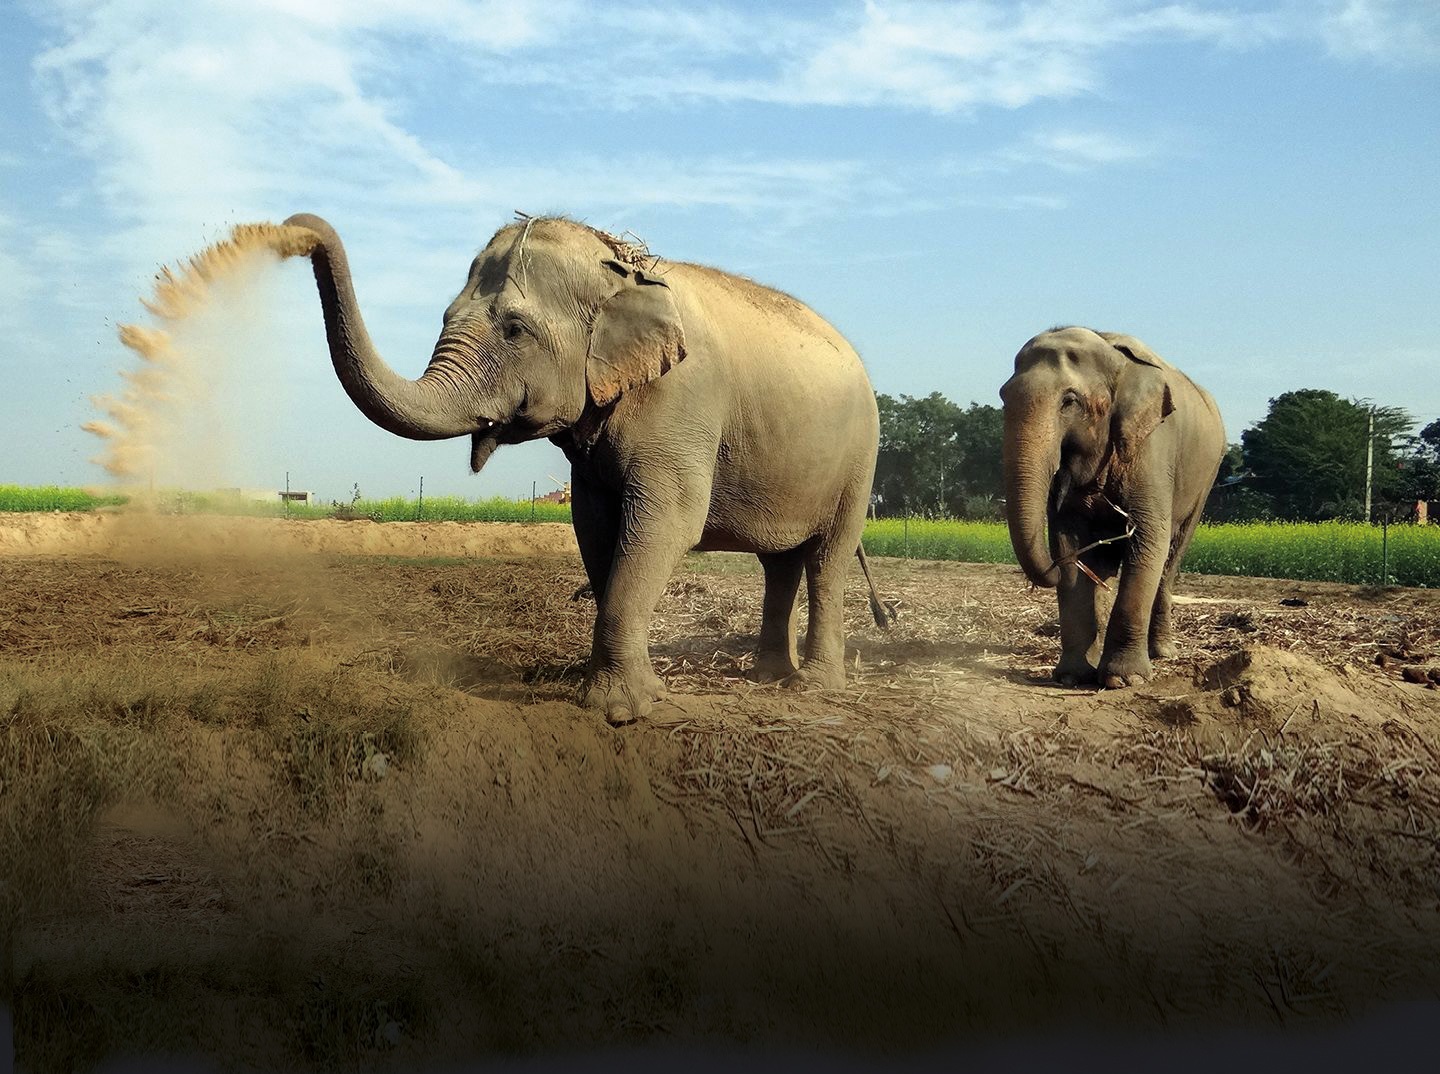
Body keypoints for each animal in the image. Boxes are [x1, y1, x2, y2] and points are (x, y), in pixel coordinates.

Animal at [284, 212, 887, 724]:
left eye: (514, 330)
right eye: (446, 318)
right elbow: (595, 527)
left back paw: (811, 685)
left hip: (861, 459)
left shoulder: (684, 402)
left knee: (826, 560)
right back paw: (768, 675)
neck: (624, 271)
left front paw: (620, 711)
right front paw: (625, 689)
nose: (295, 229)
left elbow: (667, 523)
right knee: (779, 565)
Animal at [1000, 326, 1226, 688]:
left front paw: (1124, 679)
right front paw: (1071, 677)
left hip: (1207, 478)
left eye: (1069, 401)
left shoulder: (1152, 449)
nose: (1048, 573)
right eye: (1004, 397)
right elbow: (1069, 543)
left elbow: (1149, 539)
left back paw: (1162, 652)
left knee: (1171, 558)